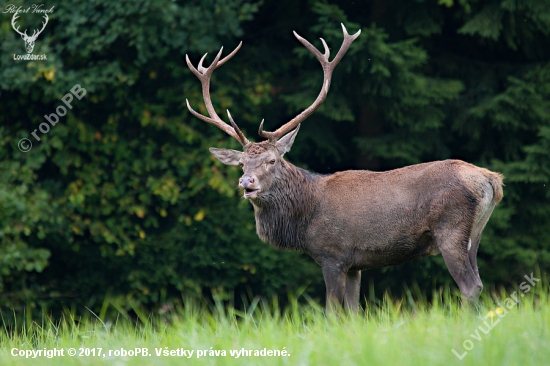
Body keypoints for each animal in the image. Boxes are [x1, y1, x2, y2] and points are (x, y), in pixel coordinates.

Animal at [188, 23, 506, 312]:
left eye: (272, 160)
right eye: (242, 163)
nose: (247, 182)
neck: (306, 216)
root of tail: (491, 180)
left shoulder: (334, 255)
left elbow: (332, 311)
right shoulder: (356, 264)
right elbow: (354, 312)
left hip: (451, 227)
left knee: (469, 286)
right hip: (475, 233)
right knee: (478, 282)